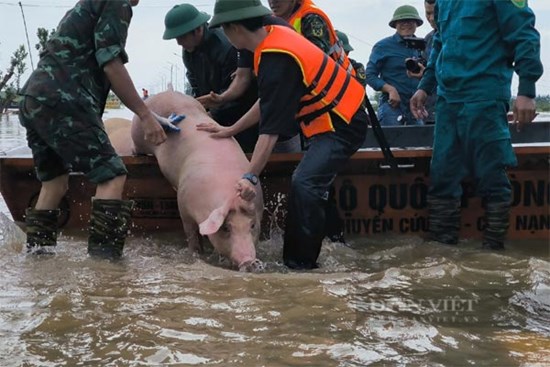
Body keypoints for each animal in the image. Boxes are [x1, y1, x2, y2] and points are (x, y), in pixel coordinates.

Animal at [106, 90, 266, 272]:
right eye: (226, 227)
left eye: (252, 226)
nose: (249, 261)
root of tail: (164, 92)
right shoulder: (183, 204)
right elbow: (191, 233)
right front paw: (197, 253)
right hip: (139, 134)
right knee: (138, 148)